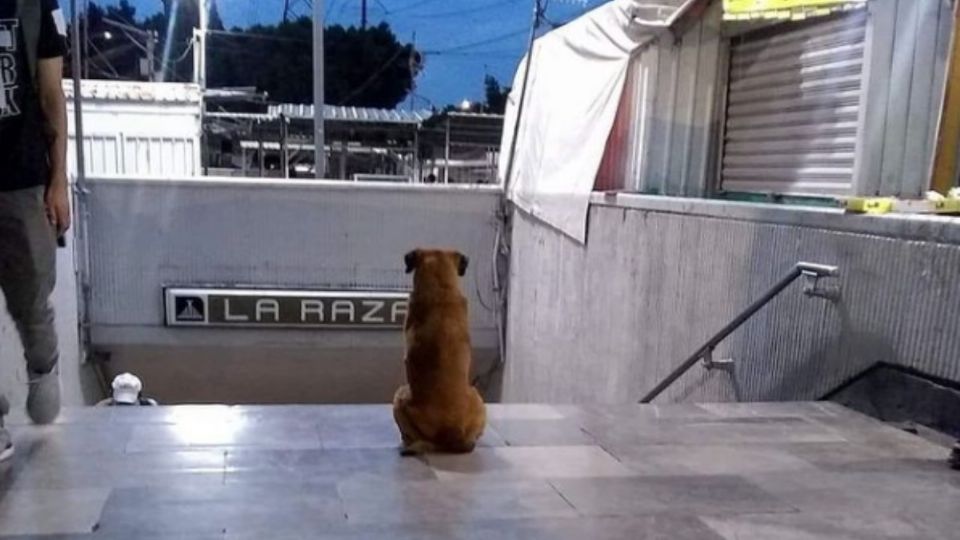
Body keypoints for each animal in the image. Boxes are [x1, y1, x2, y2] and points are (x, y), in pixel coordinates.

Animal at [390, 249, 484, 456]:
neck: (441, 289)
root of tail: (451, 432)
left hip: (399, 397)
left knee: (411, 437)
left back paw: (407, 444)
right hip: (478, 397)